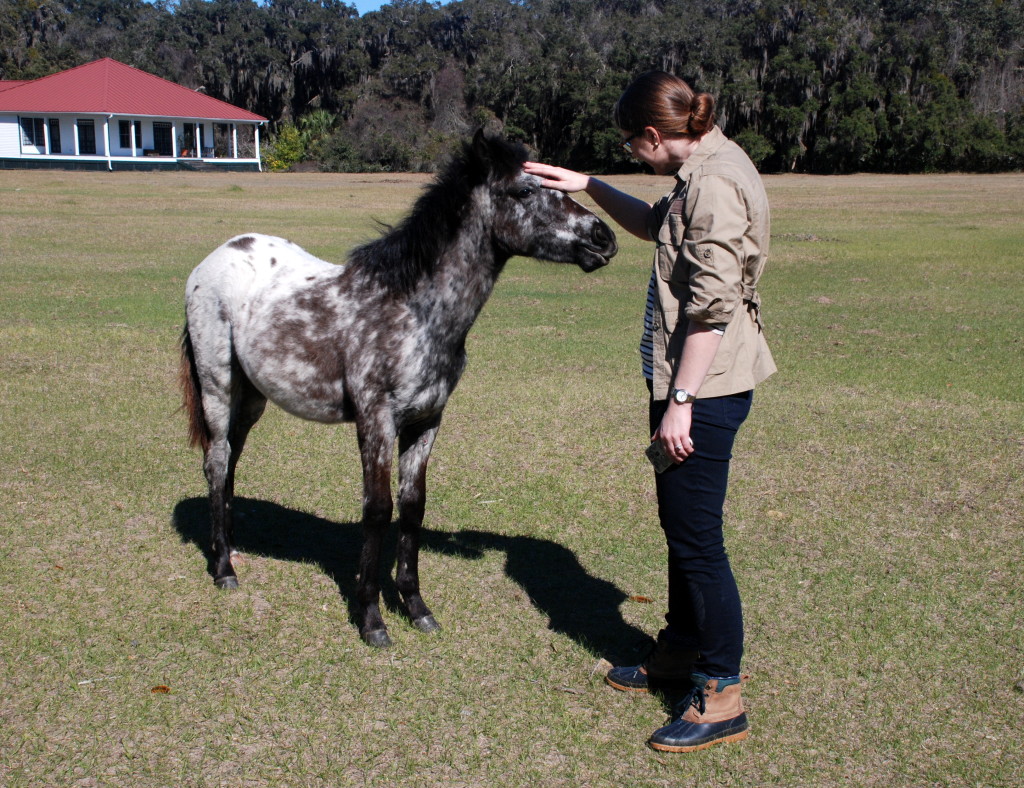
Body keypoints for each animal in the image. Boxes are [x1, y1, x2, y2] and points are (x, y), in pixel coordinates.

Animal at [178, 128, 614, 646]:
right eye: (525, 191)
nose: (604, 237)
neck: (412, 311)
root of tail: (217, 256)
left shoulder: (426, 422)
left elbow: (411, 508)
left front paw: (417, 607)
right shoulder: (376, 421)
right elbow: (377, 509)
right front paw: (371, 618)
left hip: (251, 399)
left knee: (228, 464)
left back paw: (230, 549)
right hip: (218, 386)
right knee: (216, 460)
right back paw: (224, 569)